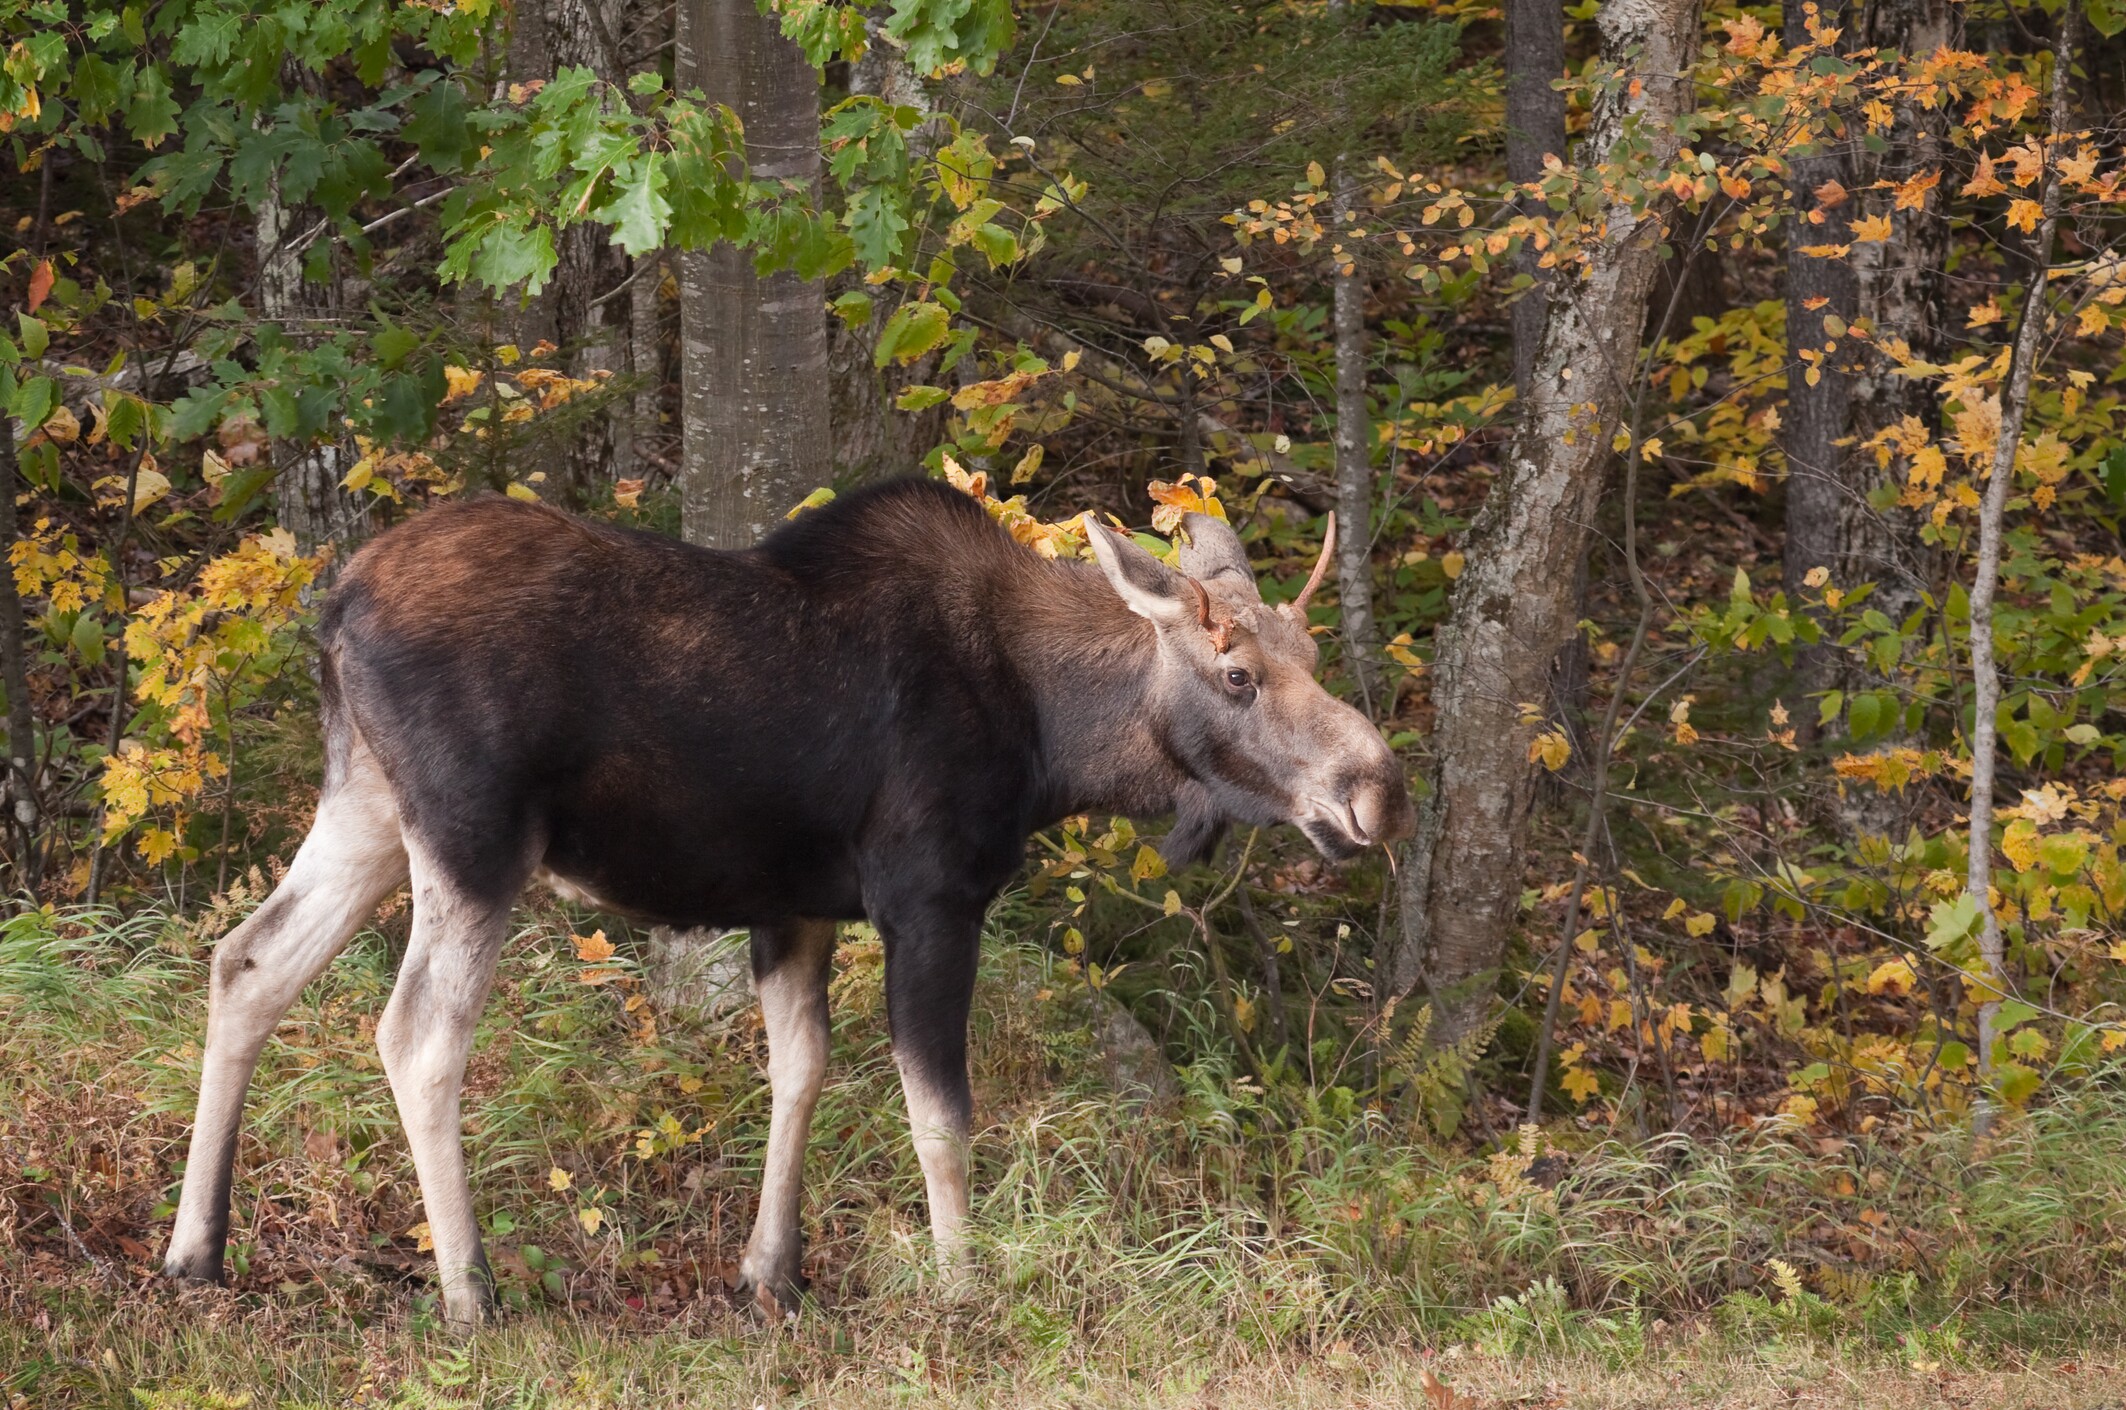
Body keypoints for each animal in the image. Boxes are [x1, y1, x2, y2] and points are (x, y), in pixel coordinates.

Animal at [154, 474, 1411, 1327]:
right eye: (1237, 675)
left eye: (1311, 657)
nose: (1376, 790)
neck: (1056, 740)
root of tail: (334, 610)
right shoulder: (929, 896)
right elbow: (939, 1113)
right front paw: (963, 1288)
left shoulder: (794, 907)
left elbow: (797, 1073)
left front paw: (772, 1273)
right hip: (471, 836)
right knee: (417, 1033)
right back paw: (469, 1292)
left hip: (366, 810)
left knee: (245, 962)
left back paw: (195, 1253)